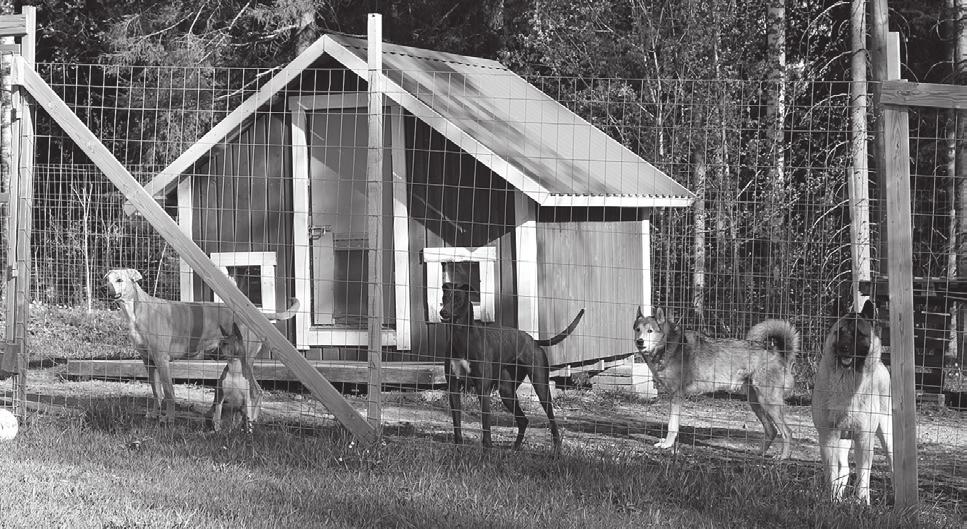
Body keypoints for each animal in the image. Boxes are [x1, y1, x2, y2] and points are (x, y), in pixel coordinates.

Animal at [104, 268, 296, 420]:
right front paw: (154, 414)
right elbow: (156, 392)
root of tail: (257, 316)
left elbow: (169, 392)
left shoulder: (162, 359)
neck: (137, 309)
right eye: (107, 279)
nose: (104, 289)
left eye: (119, 280)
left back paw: (252, 420)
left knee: (257, 391)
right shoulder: (148, 361)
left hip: (245, 361)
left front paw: (169, 419)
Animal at [440, 282, 588, 452]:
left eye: (458, 299)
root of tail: (533, 340)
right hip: (507, 391)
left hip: (541, 386)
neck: (462, 338)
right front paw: (458, 446)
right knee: (523, 420)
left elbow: (486, 423)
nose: (443, 312)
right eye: (444, 297)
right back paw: (515, 448)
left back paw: (557, 448)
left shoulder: (482, 388)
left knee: (551, 419)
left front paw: (487, 449)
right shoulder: (453, 386)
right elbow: (456, 421)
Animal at [636, 306, 800, 458]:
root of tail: (780, 353)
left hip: (768, 403)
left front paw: (667, 445)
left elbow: (672, 426)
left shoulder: (676, 396)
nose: (639, 341)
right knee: (771, 431)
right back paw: (759, 453)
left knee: (787, 432)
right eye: (637, 330)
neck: (670, 345)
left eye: (650, 331)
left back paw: (783, 457)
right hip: (756, 402)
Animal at [808, 296, 892, 504]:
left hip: (887, 435)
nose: (844, 348)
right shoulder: (829, 436)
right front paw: (831, 499)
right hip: (842, 440)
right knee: (843, 468)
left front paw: (862, 503)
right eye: (840, 332)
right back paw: (837, 497)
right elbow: (832, 473)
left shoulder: (864, 439)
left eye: (858, 334)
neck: (847, 379)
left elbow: (863, 475)